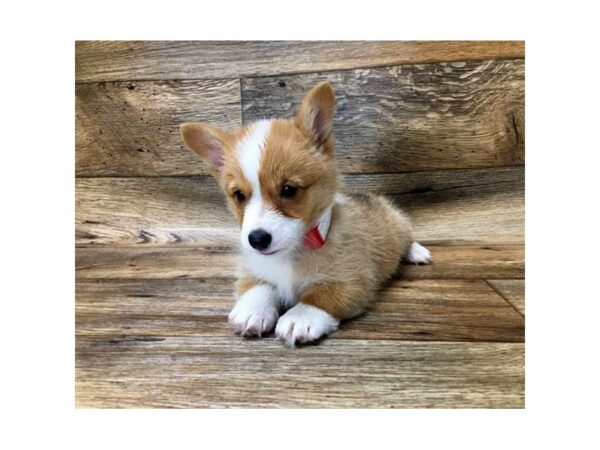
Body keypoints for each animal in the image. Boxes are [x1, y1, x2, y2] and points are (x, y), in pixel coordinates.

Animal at [179, 81, 432, 348]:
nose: (257, 240)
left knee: (406, 239)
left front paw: (300, 318)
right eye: (239, 195)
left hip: (398, 225)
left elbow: (321, 295)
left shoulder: (353, 280)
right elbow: (258, 286)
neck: (292, 252)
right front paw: (253, 310)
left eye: (288, 190)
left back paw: (417, 252)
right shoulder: (251, 268)